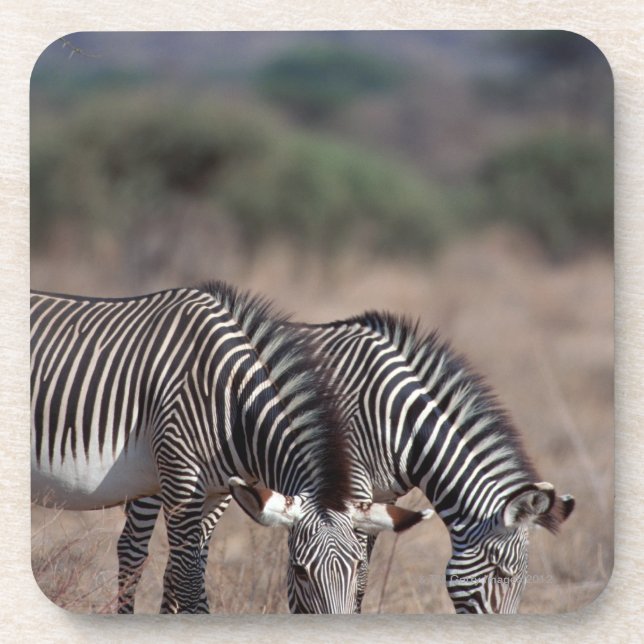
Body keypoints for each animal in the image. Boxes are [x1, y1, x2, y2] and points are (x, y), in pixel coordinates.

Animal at [31, 283, 428, 614]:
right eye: (298, 571)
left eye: (358, 567)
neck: (231, 400)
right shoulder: (180, 480)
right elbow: (189, 587)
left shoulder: (211, 492)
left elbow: (186, 577)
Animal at [117, 310, 574, 613]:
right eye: (502, 574)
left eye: (521, 581)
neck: (399, 419)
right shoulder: (342, 485)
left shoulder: (378, 499)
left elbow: (360, 576)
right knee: (132, 548)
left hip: (217, 481)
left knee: (185, 557)